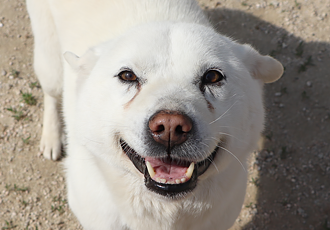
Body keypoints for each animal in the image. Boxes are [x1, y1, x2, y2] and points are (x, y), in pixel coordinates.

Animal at [26, 0, 284, 229]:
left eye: (212, 77)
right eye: (127, 76)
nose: (170, 127)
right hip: (50, 62)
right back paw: (51, 138)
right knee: (51, 94)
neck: (165, 211)